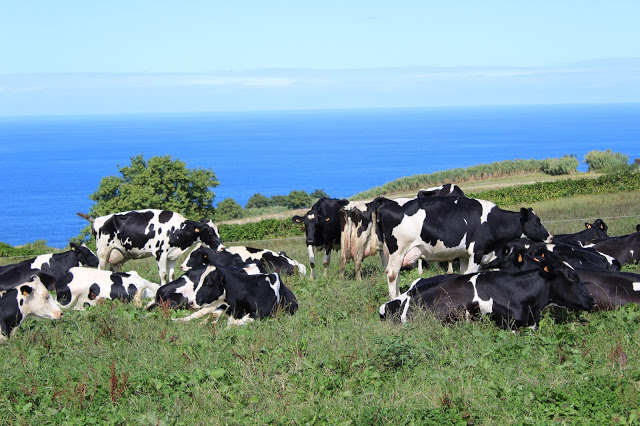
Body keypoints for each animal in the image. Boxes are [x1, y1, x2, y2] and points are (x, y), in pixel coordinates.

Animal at [79, 209, 224, 285]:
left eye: (218, 230)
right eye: (210, 232)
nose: (222, 248)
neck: (176, 229)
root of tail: (96, 220)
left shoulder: (172, 255)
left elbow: (171, 274)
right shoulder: (160, 253)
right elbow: (163, 275)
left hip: (117, 255)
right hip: (103, 252)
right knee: (101, 269)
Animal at [374, 196, 552, 298]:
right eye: (537, 221)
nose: (550, 237)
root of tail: (389, 202)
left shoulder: (465, 255)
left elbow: (464, 274)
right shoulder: (477, 252)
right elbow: (472, 273)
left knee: (396, 274)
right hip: (398, 250)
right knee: (392, 274)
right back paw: (394, 298)